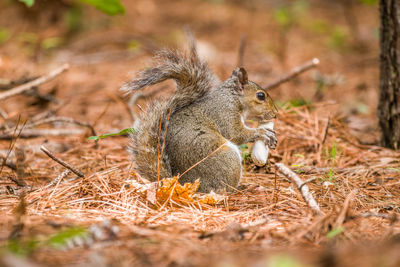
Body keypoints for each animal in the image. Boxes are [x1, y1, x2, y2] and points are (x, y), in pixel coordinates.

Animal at [122, 40, 278, 194]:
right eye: (261, 96)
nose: (275, 114)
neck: (231, 98)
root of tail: (180, 184)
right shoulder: (224, 113)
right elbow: (235, 133)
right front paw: (262, 132)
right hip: (226, 158)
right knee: (224, 189)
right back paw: (242, 188)